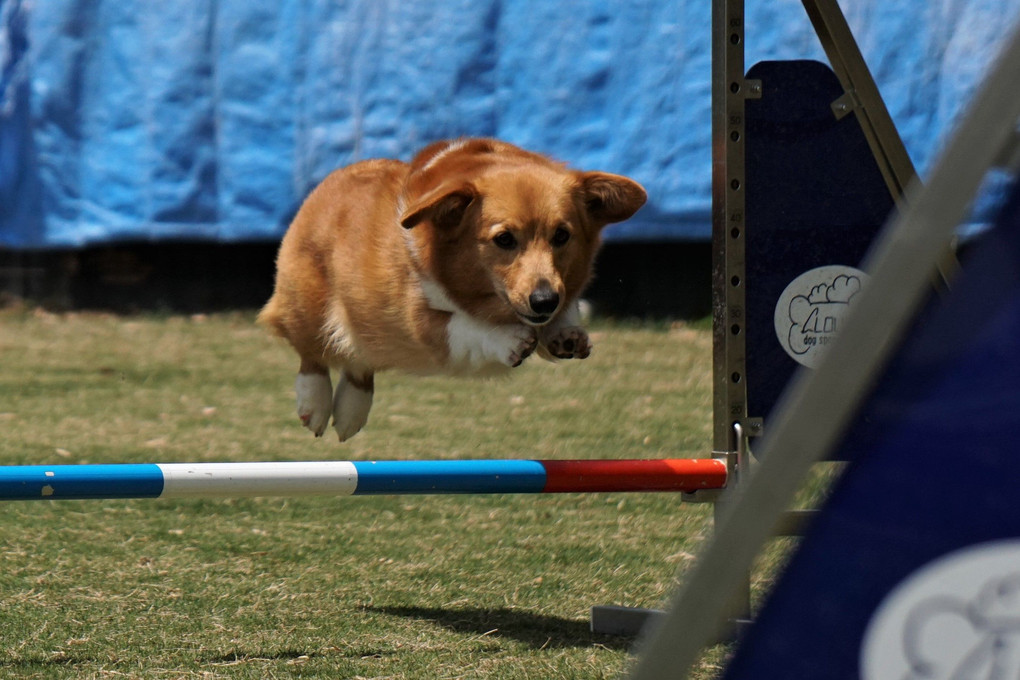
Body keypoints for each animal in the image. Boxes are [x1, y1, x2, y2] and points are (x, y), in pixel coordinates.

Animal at [257, 138, 644, 442]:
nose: (544, 301)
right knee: (312, 353)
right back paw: (314, 404)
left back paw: (351, 411)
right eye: (504, 239)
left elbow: (565, 312)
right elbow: (461, 326)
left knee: (359, 364)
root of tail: (328, 183)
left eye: (561, 236)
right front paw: (510, 339)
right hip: (310, 305)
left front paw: (565, 332)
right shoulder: (418, 317)